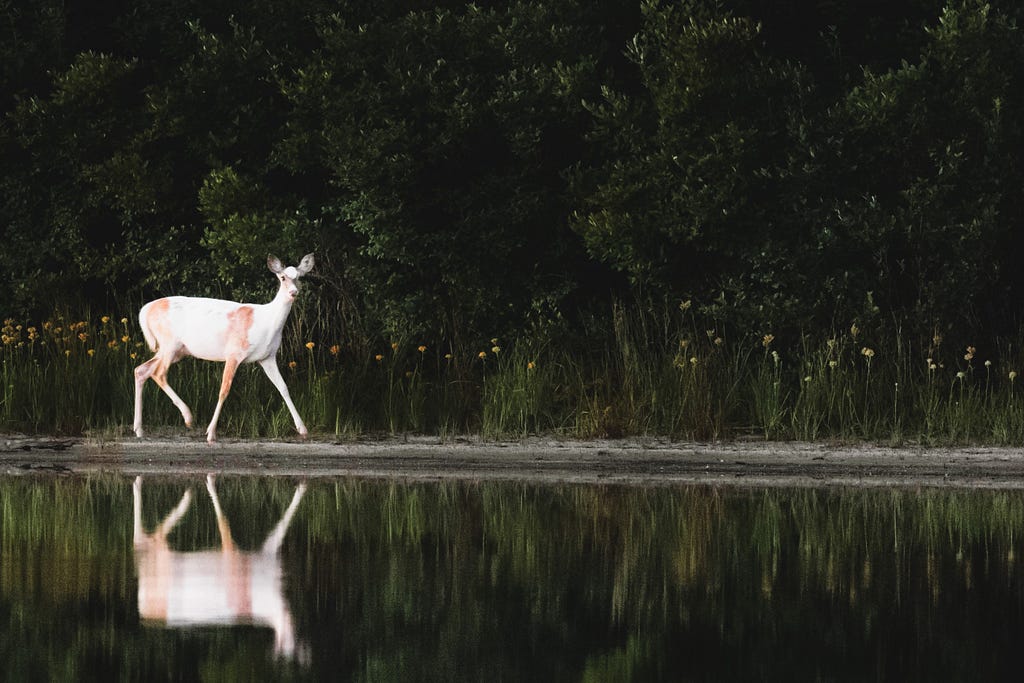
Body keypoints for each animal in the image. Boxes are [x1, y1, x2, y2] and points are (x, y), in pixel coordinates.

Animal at [134, 254, 313, 444]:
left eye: (300, 277)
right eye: (282, 277)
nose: (293, 292)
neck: (266, 323)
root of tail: (145, 310)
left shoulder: (268, 357)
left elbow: (283, 387)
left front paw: (303, 430)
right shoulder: (234, 353)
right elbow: (224, 390)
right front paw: (211, 433)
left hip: (174, 350)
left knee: (141, 370)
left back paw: (139, 429)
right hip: (170, 343)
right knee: (158, 373)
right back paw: (188, 418)